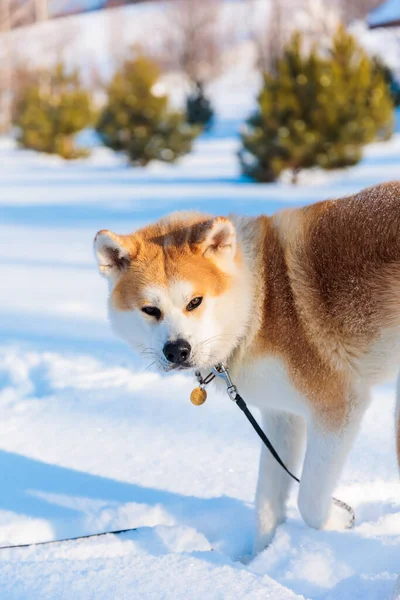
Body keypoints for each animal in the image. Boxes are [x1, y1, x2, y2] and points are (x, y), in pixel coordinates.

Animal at [94, 180, 400, 556]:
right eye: (150, 309)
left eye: (194, 302)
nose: (177, 351)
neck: (260, 301)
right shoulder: (281, 416)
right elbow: (268, 503)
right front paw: (260, 559)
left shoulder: (339, 408)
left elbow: (309, 502)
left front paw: (337, 524)